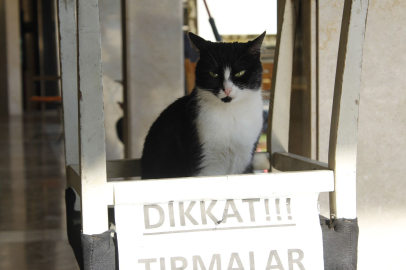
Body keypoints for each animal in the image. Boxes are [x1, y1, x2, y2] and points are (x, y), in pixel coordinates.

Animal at [141, 31, 264, 179]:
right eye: (213, 73)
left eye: (240, 72)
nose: (227, 89)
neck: (231, 112)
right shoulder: (206, 162)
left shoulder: (244, 159)